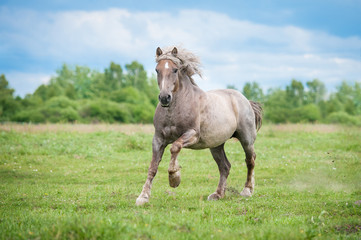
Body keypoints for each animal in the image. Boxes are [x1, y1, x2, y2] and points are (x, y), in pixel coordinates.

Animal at [135, 47, 262, 206]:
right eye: (157, 70)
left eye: (175, 70)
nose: (164, 98)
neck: (175, 109)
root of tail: (245, 100)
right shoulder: (158, 139)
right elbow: (153, 167)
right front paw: (143, 197)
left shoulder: (192, 134)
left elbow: (175, 147)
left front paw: (174, 178)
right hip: (216, 145)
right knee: (225, 167)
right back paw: (217, 194)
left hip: (246, 139)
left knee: (250, 161)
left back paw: (247, 191)